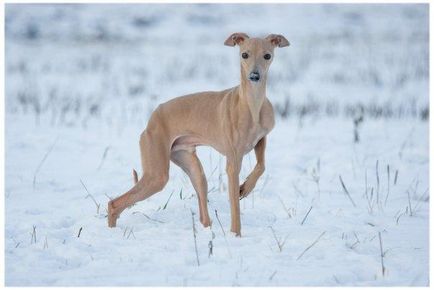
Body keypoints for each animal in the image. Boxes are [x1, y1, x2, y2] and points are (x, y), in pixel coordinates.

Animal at [108, 32, 290, 236]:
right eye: (244, 54)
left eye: (267, 55)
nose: (254, 76)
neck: (252, 104)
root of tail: (152, 118)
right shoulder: (233, 162)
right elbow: (234, 205)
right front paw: (236, 234)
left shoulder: (261, 140)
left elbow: (261, 166)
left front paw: (245, 188)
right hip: (157, 174)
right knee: (114, 203)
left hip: (193, 169)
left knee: (203, 214)